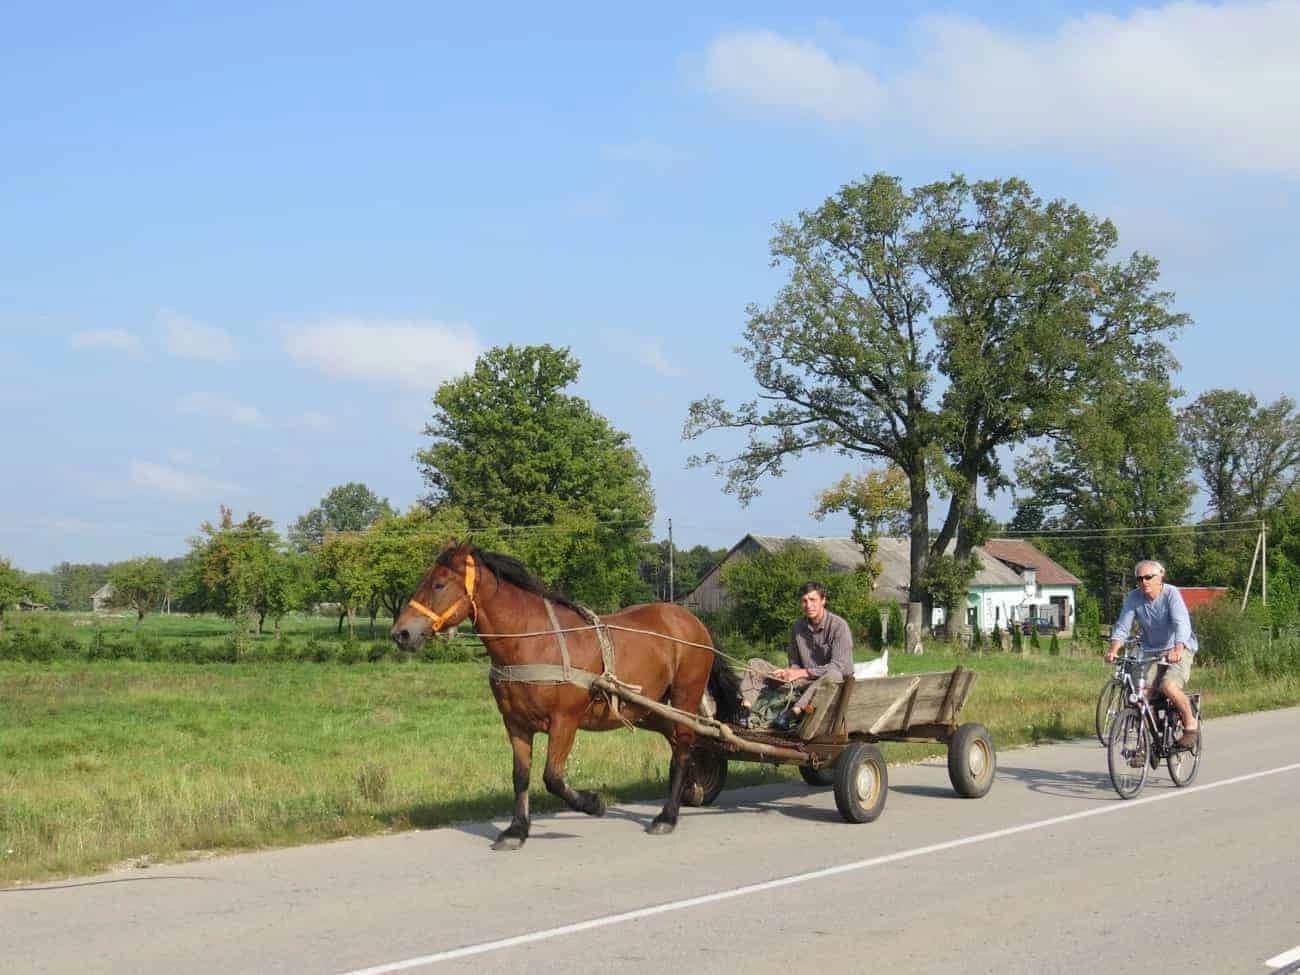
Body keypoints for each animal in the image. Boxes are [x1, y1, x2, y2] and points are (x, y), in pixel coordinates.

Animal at [390, 546, 738, 852]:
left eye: (438, 584)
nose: (400, 633)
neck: (534, 642)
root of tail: (693, 621)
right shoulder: (515, 724)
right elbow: (521, 777)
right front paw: (516, 831)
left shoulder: (565, 722)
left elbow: (552, 777)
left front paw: (593, 802)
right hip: (651, 707)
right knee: (682, 743)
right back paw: (692, 791)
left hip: (684, 696)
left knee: (683, 747)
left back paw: (668, 816)